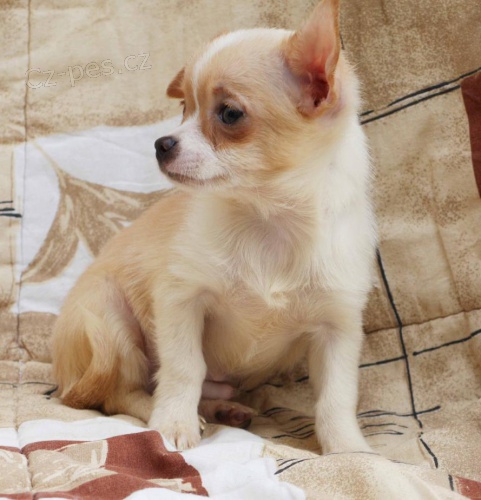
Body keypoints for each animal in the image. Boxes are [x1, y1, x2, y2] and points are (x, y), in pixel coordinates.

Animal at [52, 0, 376, 454]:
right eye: (183, 109)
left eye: (229, 114)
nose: (161, 144)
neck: (268, 219)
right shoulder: (182, 301)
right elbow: (184, 368)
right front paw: (173, 424)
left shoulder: (338, 328)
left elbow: (336, 396)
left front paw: (348, 449)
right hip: (108, 322)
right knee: (123, 393)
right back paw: (172, 414)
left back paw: (223, 409)